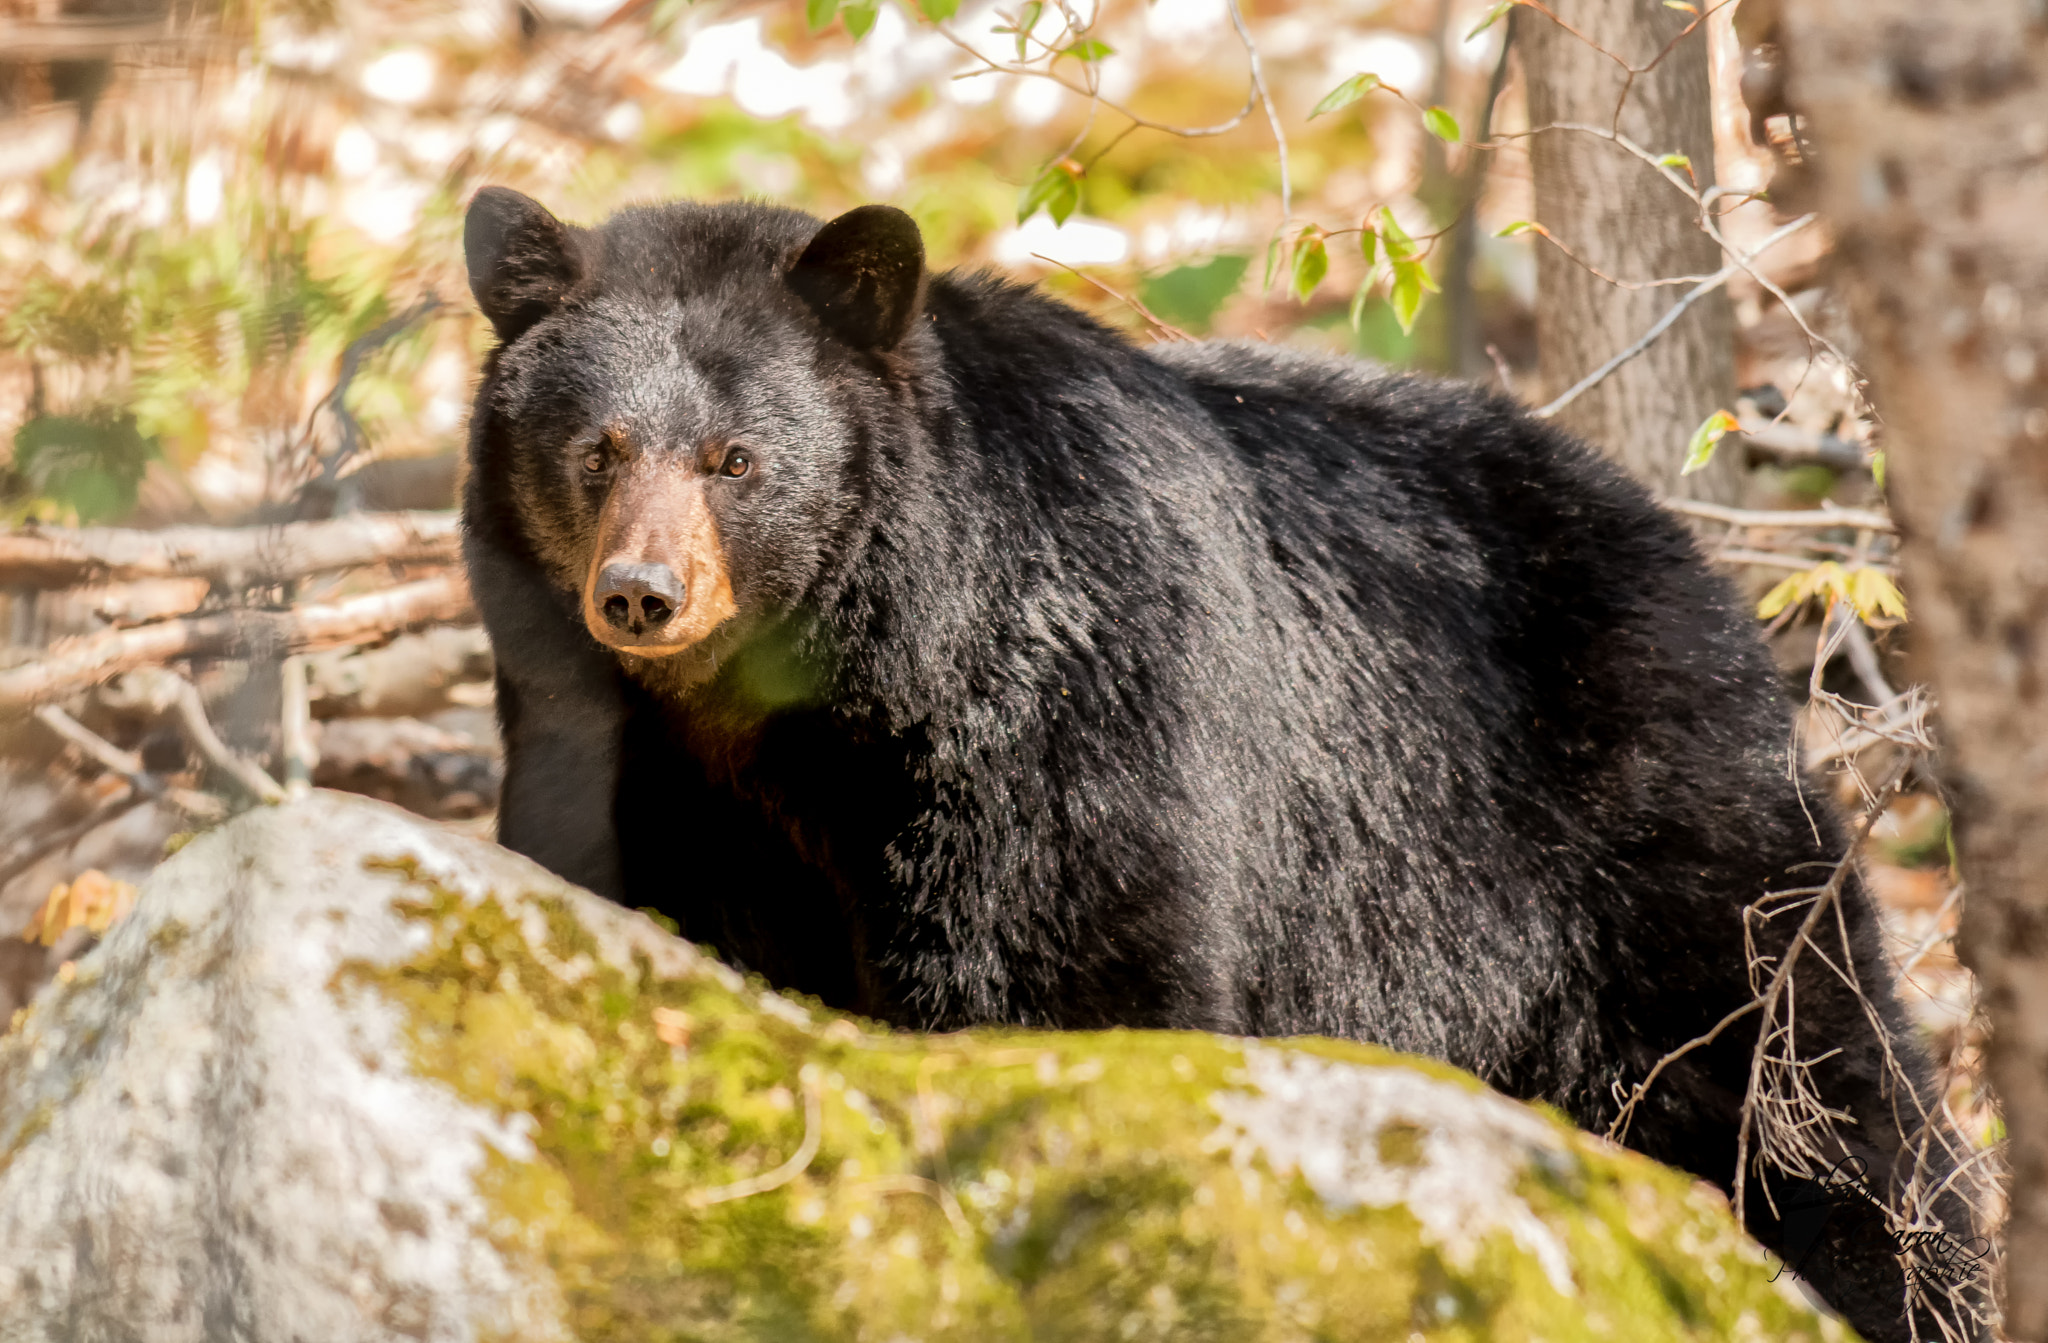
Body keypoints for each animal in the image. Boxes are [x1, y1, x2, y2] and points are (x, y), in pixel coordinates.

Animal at [460, 188, 1982, 1342]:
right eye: (595, 448)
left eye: (736, 459)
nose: (641, 595)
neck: (803, 701)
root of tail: (1685, 546)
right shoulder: (647, 770)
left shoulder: (1054, 702)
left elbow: (1065, 971)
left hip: (1638, 816)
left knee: (1802, 1078)